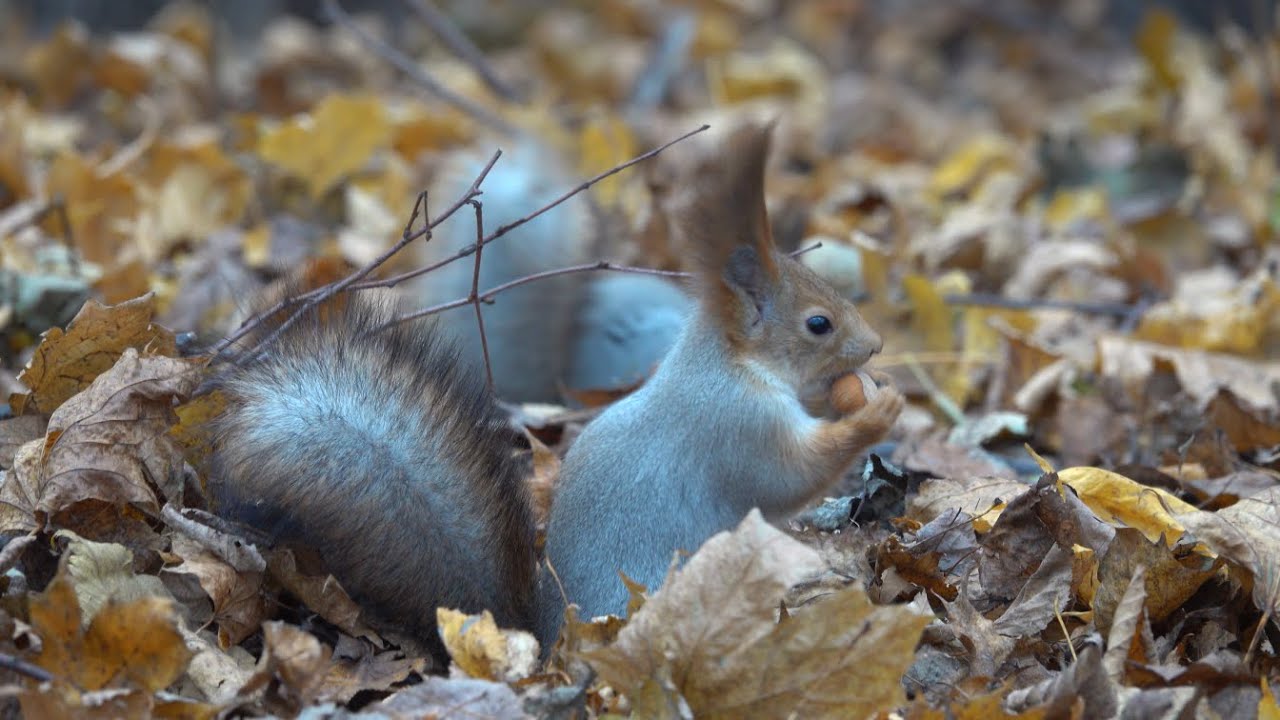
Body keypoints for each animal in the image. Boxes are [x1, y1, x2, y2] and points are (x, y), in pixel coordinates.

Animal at [204, 119, 901, 661]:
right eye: (818, 324)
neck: (731, 366)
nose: (875, 346)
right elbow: (786, 477)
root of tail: (550, 646)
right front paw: (879, 411)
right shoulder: (733, 426)